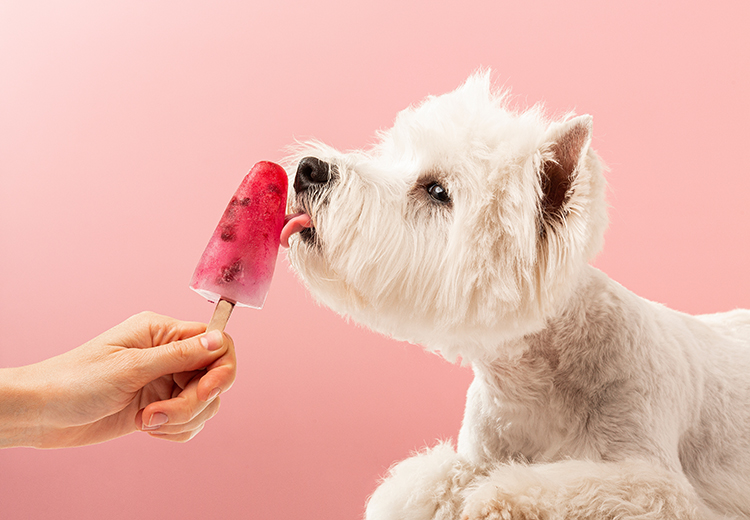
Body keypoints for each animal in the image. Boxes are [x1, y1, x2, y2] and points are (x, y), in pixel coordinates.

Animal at [280, 71, 750, 516]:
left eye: (437, 191)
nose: (308, 168)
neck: (535, 384)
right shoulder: (478, 448)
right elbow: (428, 479)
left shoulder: (656, 481)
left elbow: (568, 489)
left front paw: (496, 498)